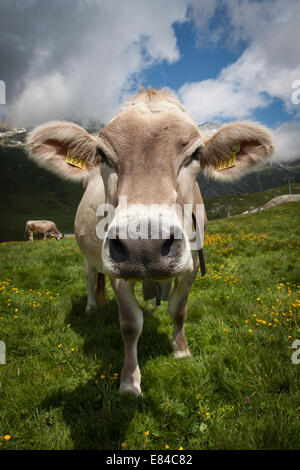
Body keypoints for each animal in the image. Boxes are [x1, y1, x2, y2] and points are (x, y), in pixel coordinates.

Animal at [26, 88, 274, 396]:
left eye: (196, 153)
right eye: (102, 154)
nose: (143, 245)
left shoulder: (192, 263)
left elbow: (178, 310)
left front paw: (181, 349)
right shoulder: (116, 272)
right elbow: (131, 325)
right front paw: (129, 381)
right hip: (88, 256)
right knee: (90, 277)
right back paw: (92, 309)